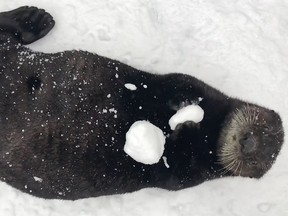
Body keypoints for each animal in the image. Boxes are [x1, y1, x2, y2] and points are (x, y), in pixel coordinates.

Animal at [0, 6, 284, 199]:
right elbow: (178, 84)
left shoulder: (187, 176)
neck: (210, 133)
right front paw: (185, 111)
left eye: (257, 161)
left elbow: (172, 168)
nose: (248, 142)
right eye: (263, 129)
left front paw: (181, 129)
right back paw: (34, 18)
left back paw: (34, 20)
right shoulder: (196, 85)